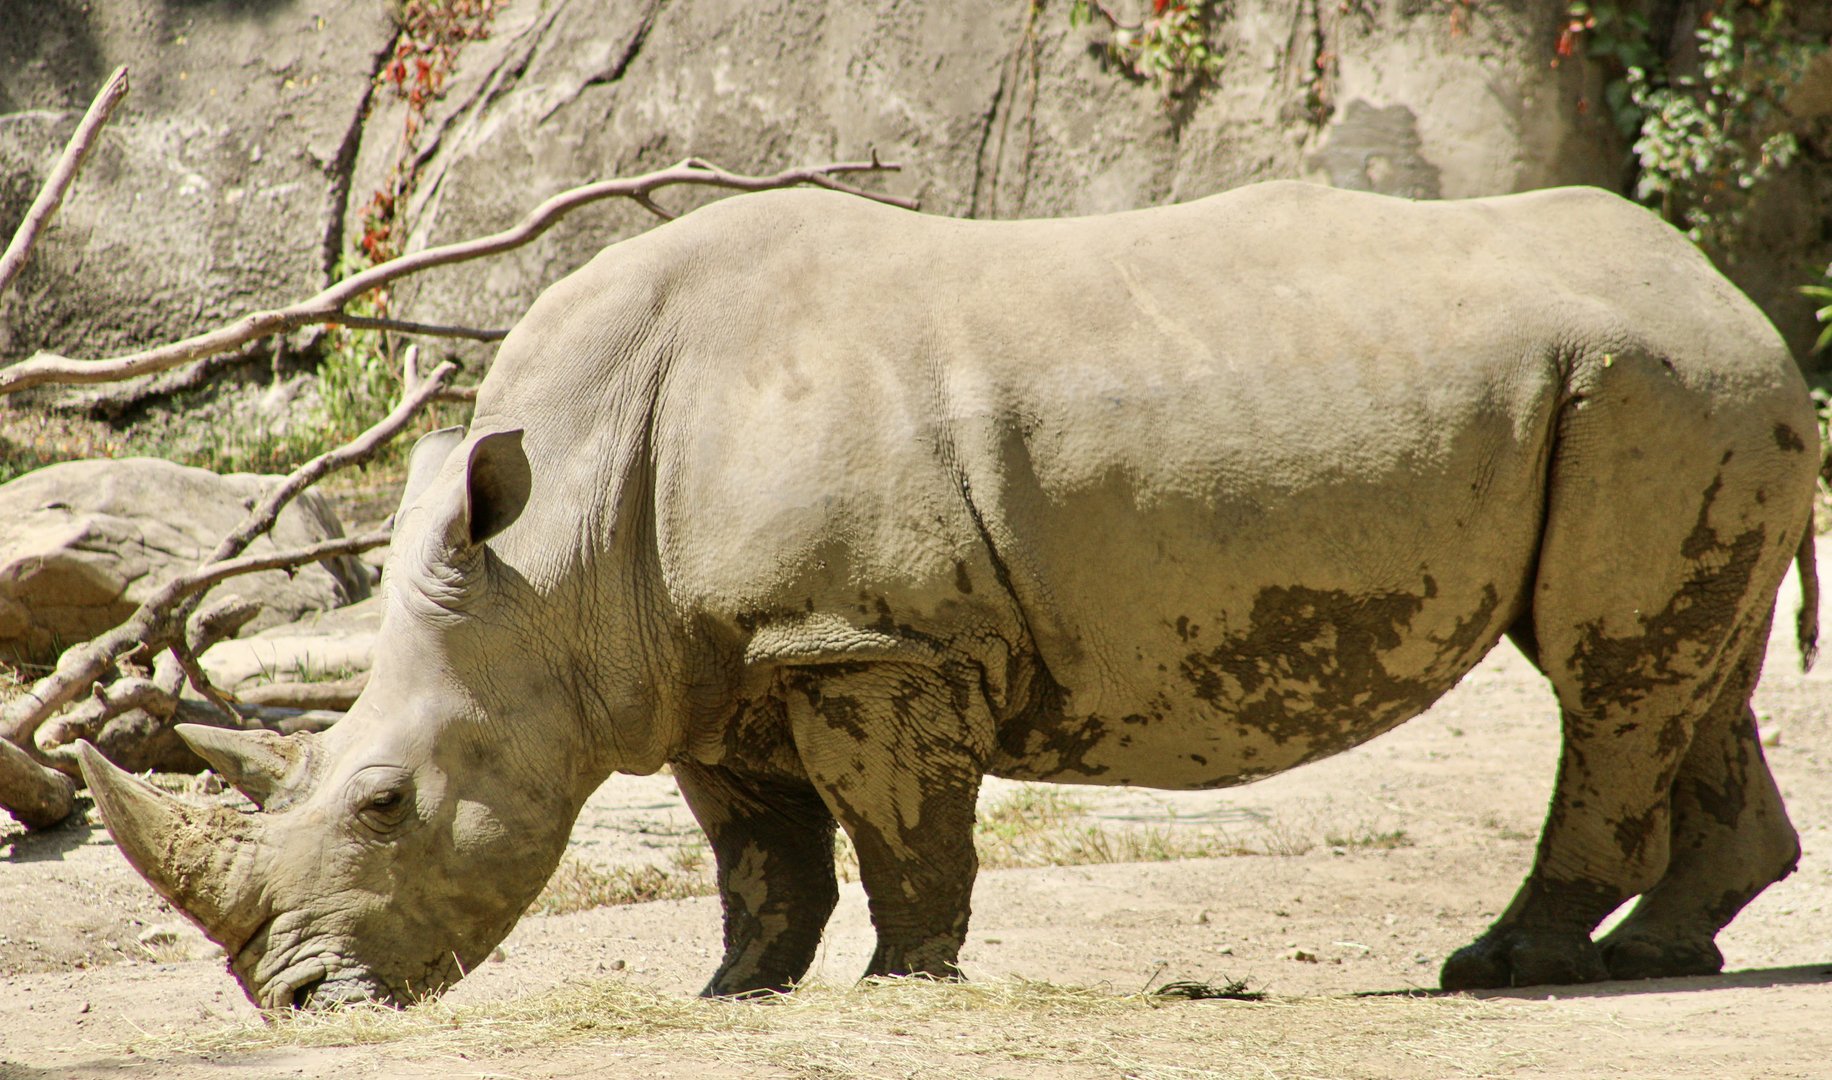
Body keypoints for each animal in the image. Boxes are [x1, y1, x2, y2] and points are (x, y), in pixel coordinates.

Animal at [79, 181, 1818, 1007]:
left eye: (383, 803)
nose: (297, 1002)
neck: (552, 561)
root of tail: (1736, 294)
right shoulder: (708, 663)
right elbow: (760, 850)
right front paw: (737, 992)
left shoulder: (870, 641)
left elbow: (898, 827)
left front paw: (901, 981)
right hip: (1679, 392)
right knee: (1685, 672)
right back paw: (1660, 951)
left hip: (1657, 389)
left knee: (1605, 674)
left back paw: (1507, 967)